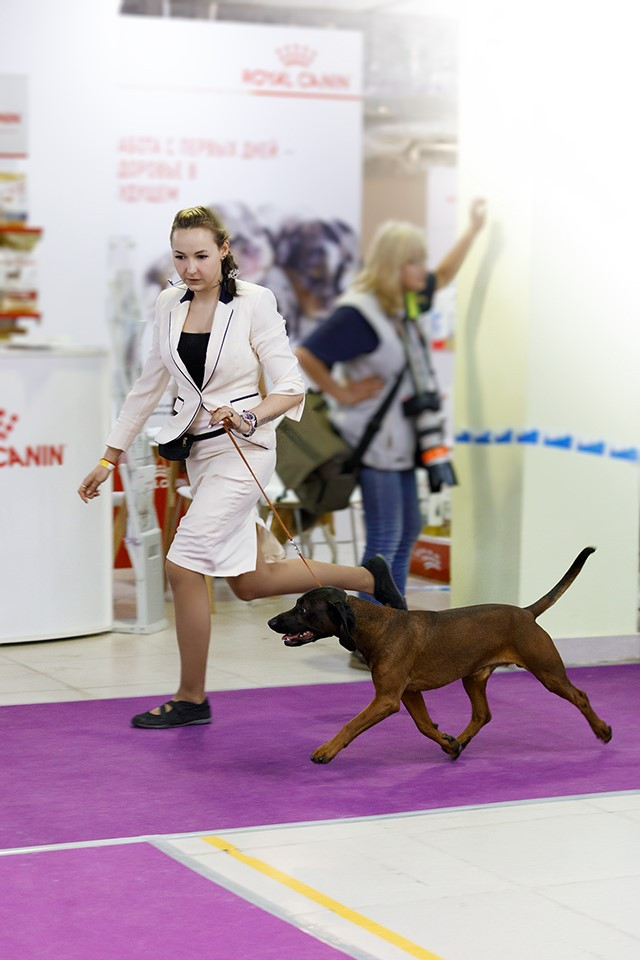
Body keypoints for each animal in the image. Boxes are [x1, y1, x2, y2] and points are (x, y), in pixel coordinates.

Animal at [267, 547, 612, 763]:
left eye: (303, 609)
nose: (271, 622)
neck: (374, 626)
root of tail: (527, 613)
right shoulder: (408, 694)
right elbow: (423, 725)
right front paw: (448, 742)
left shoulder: (387, 699)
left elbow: (351, 725)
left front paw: (326, 750)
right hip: (473, 677)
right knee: (482, 714)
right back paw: (461, 740)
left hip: (548, 673)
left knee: (580, 696)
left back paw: (602, 730)